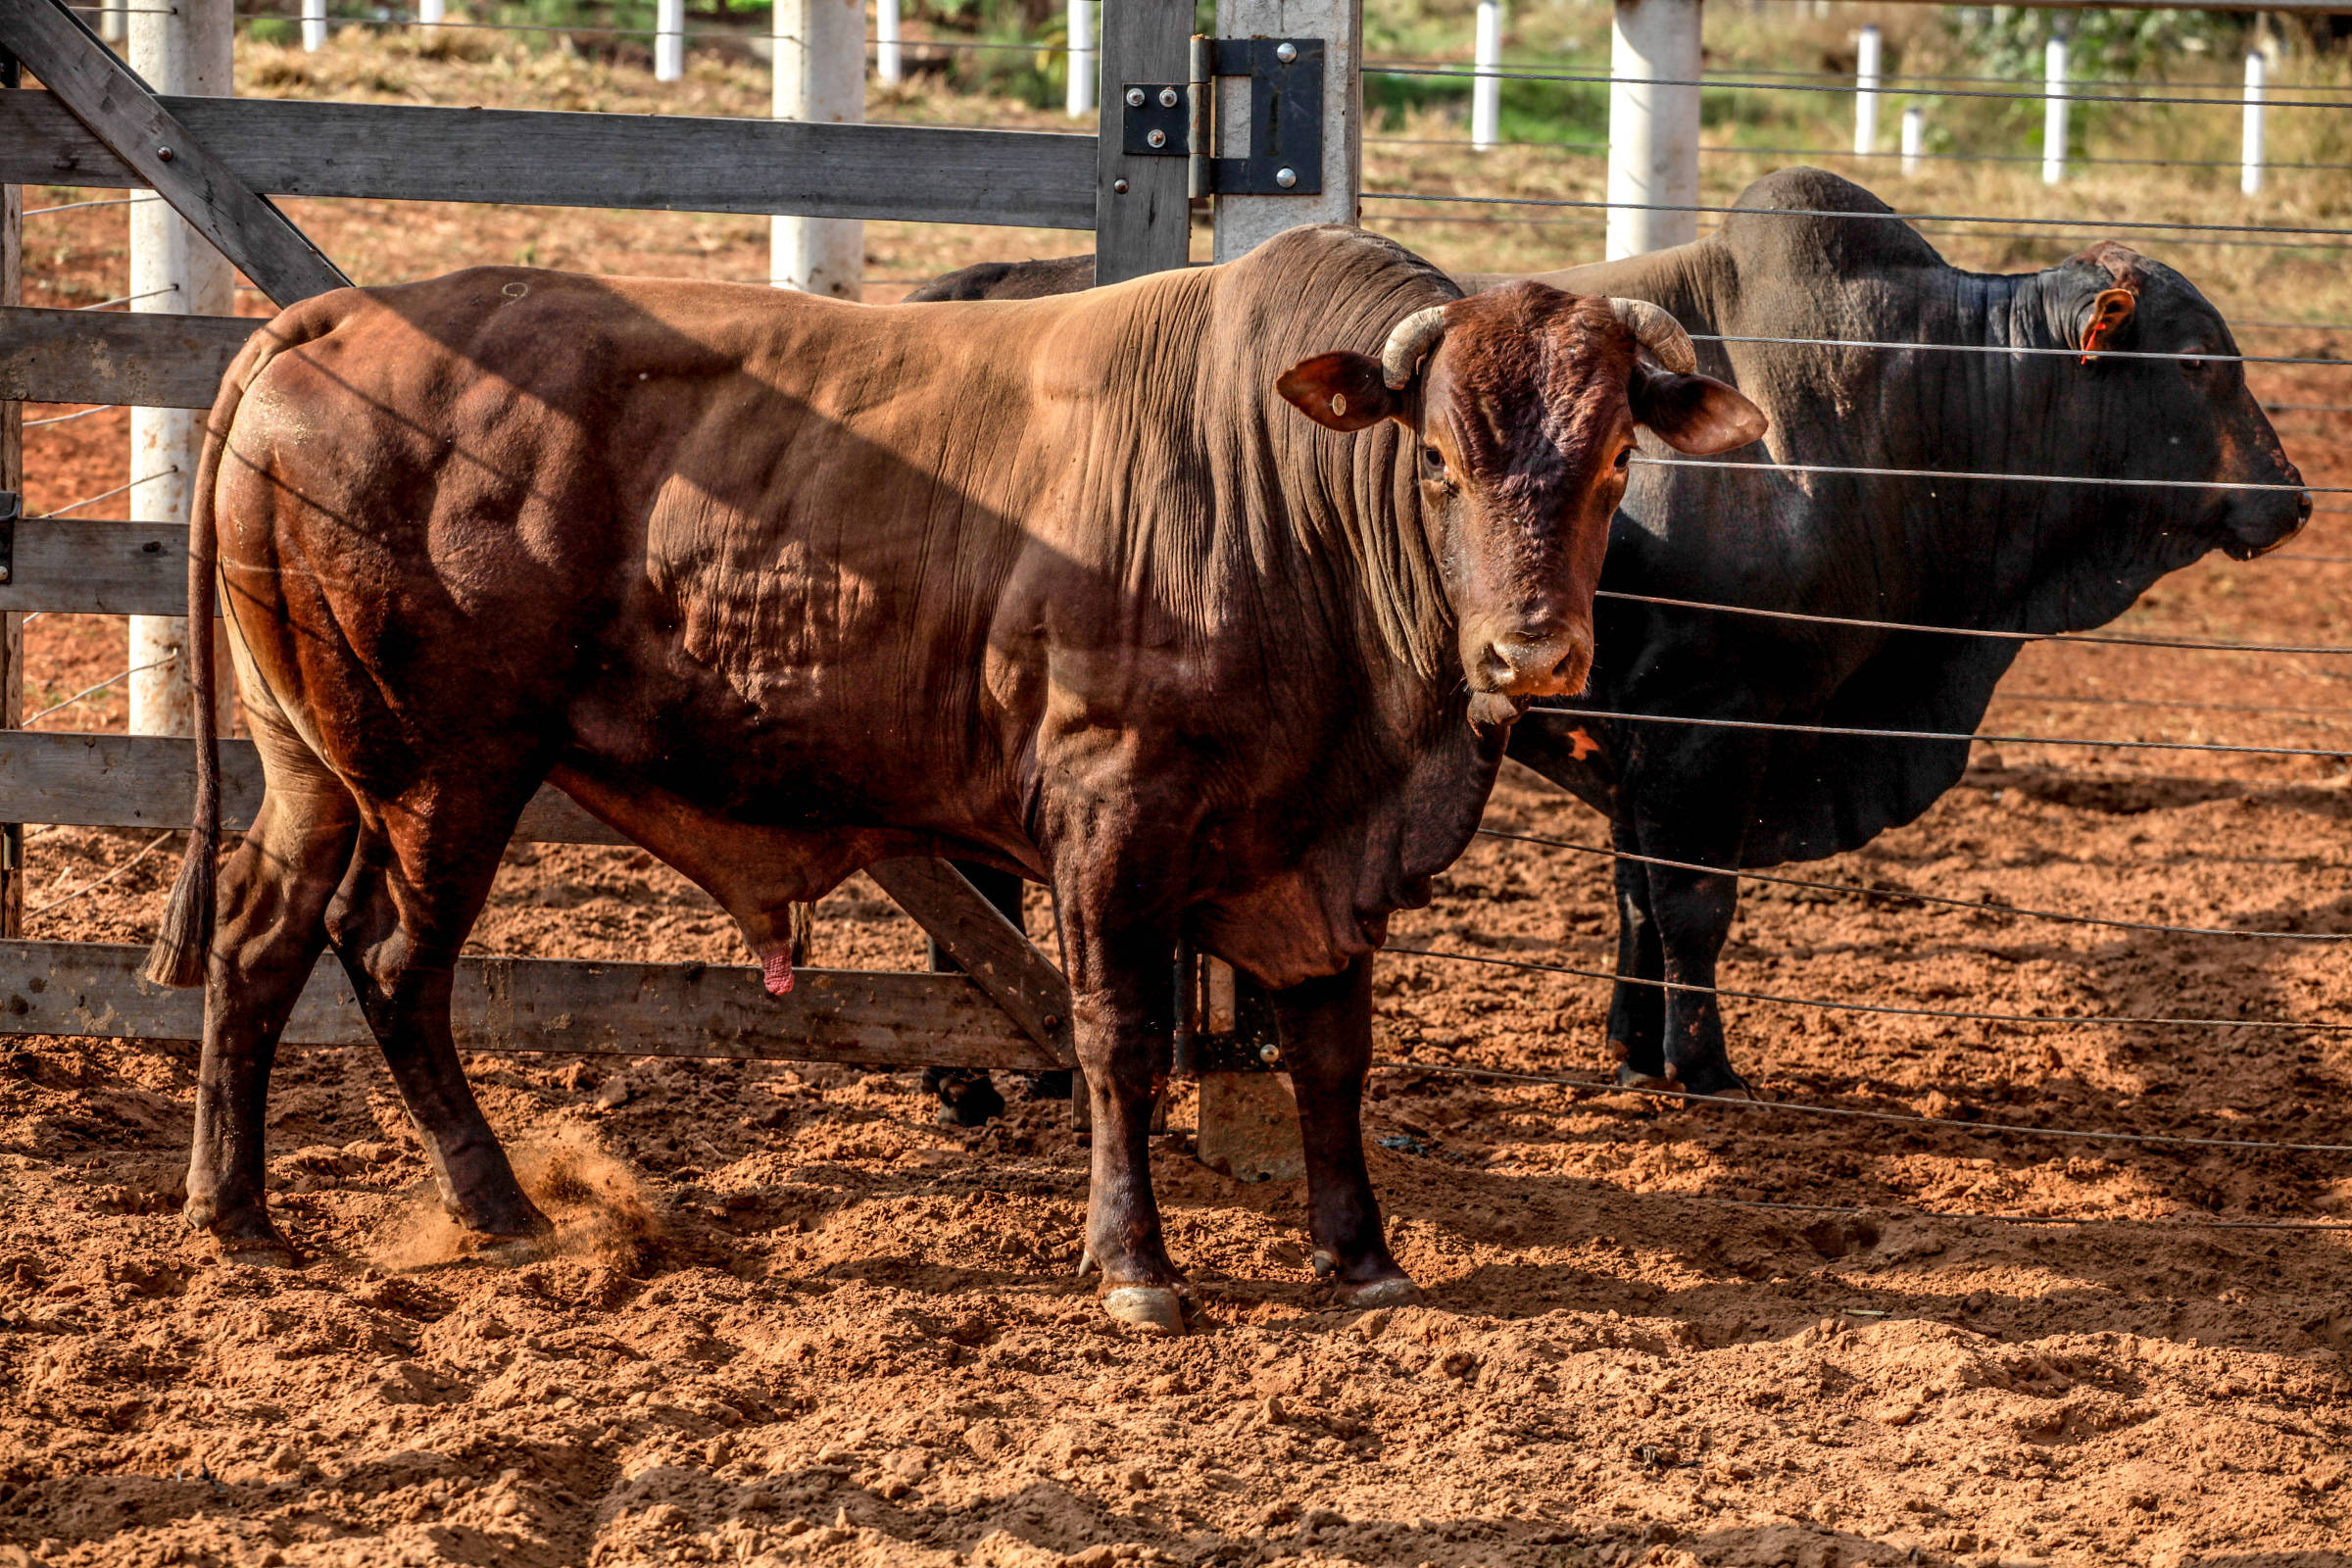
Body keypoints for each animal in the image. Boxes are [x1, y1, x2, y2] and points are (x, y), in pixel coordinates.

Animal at [151, 226, 1768, 1325]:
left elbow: (1331, 1052)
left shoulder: (1320, 855)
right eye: (1435, 460)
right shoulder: (1110, 821)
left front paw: (1360, 1253)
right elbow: (1119, 1041)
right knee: (391, 961)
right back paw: (496, 1209)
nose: (1529, 650)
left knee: (260, 941)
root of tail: (330, 317)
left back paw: (238, 1214)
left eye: (1618, 459)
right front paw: (1136, 1266)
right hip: (448, 766)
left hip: (313, 760)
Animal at [917, 172, 2314, 1100]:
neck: (1909, 411)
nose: (2294, 498)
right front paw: (1705, 1066)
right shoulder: (1712, 725)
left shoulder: (1645, 739)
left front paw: (1632, 1047)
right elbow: (1692, 904)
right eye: (2200, 364)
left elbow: (1638, 897)